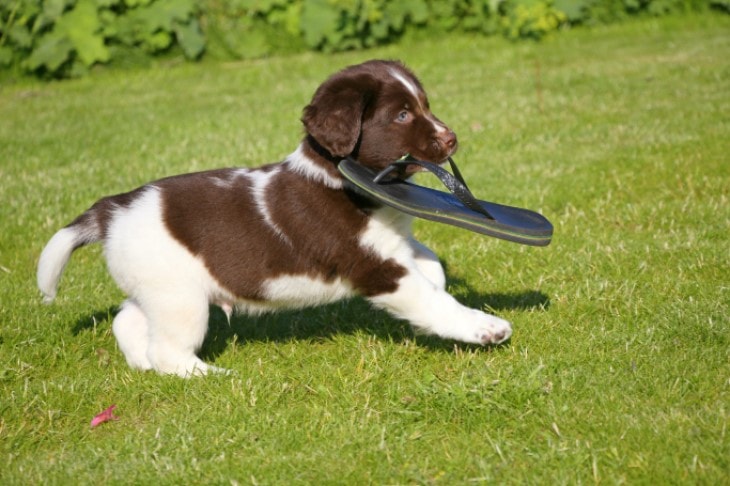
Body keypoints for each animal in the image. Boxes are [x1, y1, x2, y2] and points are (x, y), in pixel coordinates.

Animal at [37, 60, 510, 378]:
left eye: (424, 105)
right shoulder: (375, 267)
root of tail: (111, 209)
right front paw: (485, 328)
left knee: (129, 321)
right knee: (169, 352)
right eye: (402, 115)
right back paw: (211, 377)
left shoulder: (392, 244)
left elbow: (429, 261)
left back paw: (140, 365)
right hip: (181, 300)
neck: (340, 179)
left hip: (159, 289)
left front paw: (439, 277)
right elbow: (433, 301)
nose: (452, 138)